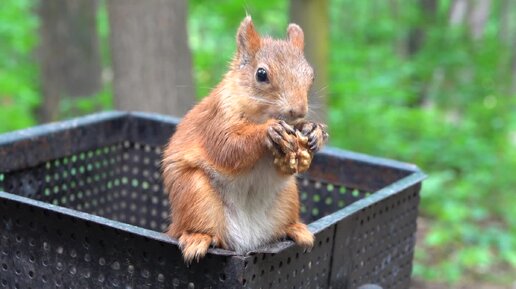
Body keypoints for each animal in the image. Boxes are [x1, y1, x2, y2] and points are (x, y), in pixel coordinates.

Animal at [163, 16, 328, 264]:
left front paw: (313, 130)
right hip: (195, 194)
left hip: (288, 198)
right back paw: (197, 238)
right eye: (261, 74)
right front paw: (268, 132)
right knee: (201, 229)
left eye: (312, 75)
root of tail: (246, 242)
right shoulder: (216, 121)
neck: (260, 116)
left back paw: (297, 230)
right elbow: (229, 148)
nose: (298, 110)